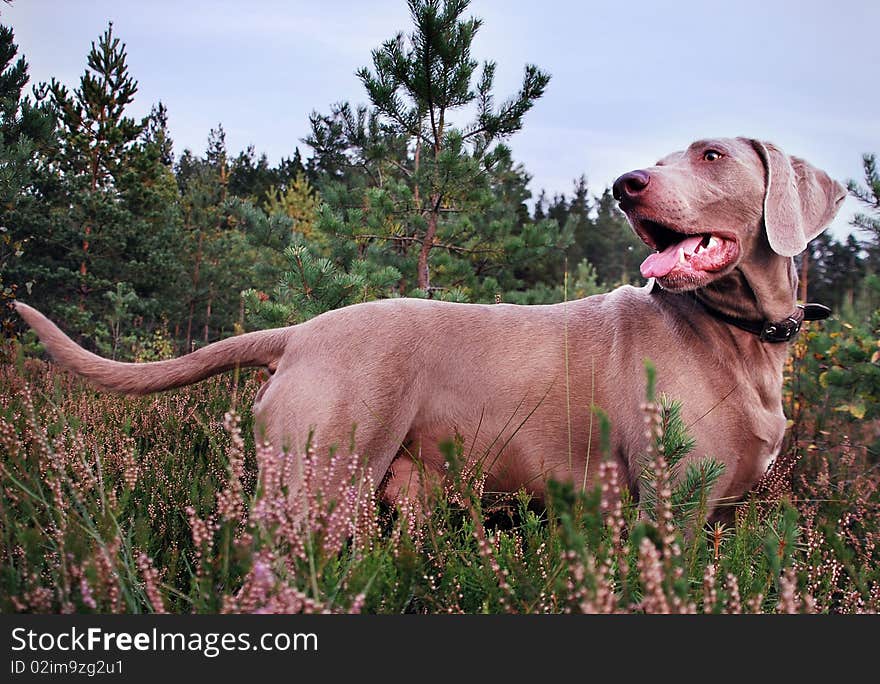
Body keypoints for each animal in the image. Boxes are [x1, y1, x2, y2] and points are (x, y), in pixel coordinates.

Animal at [15, 136, 844, 516]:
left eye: (711, 154)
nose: (625, 185)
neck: (738, 336)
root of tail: (300, 332)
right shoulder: (667, 503)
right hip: (318, 479)